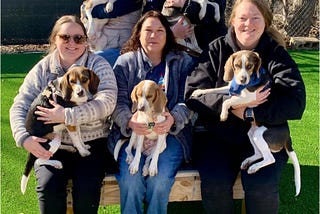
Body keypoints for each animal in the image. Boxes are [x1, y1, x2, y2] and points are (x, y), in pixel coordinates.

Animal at [21, 65, 100, 194]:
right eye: (72, 81)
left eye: (84, 79)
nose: (80, 93)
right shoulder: (70, 123)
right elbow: (77, 139)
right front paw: (83, 152)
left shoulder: (75, 119)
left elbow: (79, 137)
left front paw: (84, 146)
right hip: (50, 141)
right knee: (39, 160)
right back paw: (56, 163)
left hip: (57, 136)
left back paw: (69, 148)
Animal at [192, 50, 300, 196]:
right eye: (237, 65)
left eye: (249, 66)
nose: (242, 79)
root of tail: (288, 137)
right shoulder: (230, 87)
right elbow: (213, 89)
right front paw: (199, 91)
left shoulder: (250, 97)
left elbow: (227, 101)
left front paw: (224, 114)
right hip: (251, 133)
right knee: (259, 154)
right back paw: (248, 161)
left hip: (260, 135)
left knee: (270, 158)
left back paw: (254, 167)